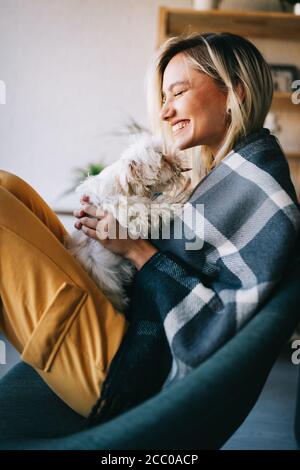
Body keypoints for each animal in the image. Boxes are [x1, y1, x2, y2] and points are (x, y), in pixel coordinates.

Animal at [63, 133, 192, 312]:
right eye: (162, 156)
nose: (179, 161)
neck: (123, 184)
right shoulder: (128, 212)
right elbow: (152, 208)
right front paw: (176, 200)